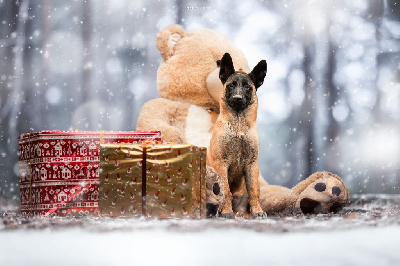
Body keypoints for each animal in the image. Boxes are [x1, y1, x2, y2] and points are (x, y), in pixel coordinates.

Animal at [208, 52, 268, 218]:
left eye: (247, 86)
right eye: (231, 85)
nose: (237, 99)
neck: (238, 126)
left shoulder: (251, 165)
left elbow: (253, 191)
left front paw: (257, 211)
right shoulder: (221, 164)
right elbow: (226, 191)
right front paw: (226, 211)